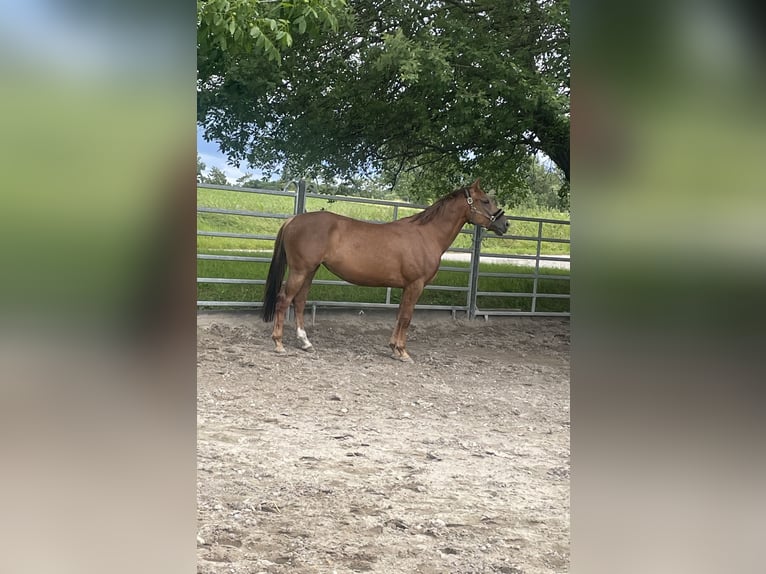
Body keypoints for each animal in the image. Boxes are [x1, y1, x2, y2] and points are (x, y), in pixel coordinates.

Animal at [261, 178, 509, 361]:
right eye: (486, 200)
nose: (505, 224)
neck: (426, 234)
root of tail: (293, 220)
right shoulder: (416, 285)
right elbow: (407, 318)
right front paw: (402, 352)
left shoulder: (407, 287)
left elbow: (399, 315)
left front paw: (393, 347)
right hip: (300, 271)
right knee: (284, 300)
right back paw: (279, 344)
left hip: (310, 271)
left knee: (299, 301)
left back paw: (306, 343)